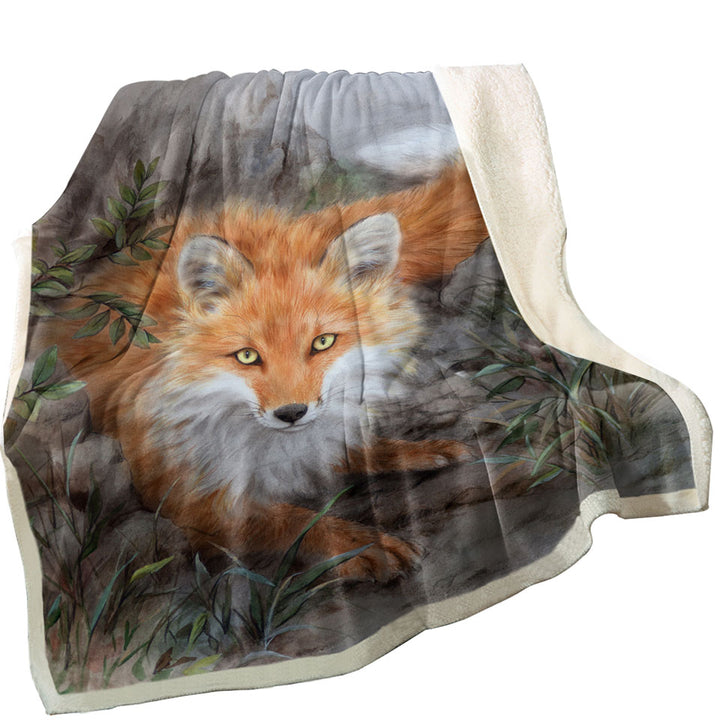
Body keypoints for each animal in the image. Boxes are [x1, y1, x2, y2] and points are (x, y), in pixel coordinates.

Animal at [51, 160, 488, 582]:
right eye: (247, 356)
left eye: (322, 343)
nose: (291, 413)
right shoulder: (185, 496)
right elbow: (294, 521)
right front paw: (361, 545)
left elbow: (352, 451)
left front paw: (415, 450)